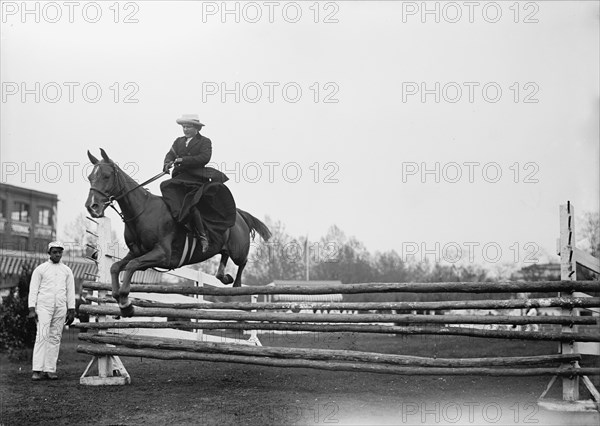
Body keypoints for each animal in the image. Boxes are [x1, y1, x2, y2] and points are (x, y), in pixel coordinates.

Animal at [84, 150, 272, 316]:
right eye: (90, 177)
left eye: (106, 176)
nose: (92, 207)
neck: (142, 212)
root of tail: (239, 214)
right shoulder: (137, 252)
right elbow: (116, 267)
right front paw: (123, 303)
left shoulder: (162, 254)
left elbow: (131, 266)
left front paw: (125, 302)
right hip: (223, 246)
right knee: (223, 259)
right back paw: (225, 277)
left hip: (238, 250)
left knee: (243, 261)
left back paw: (237, 285)